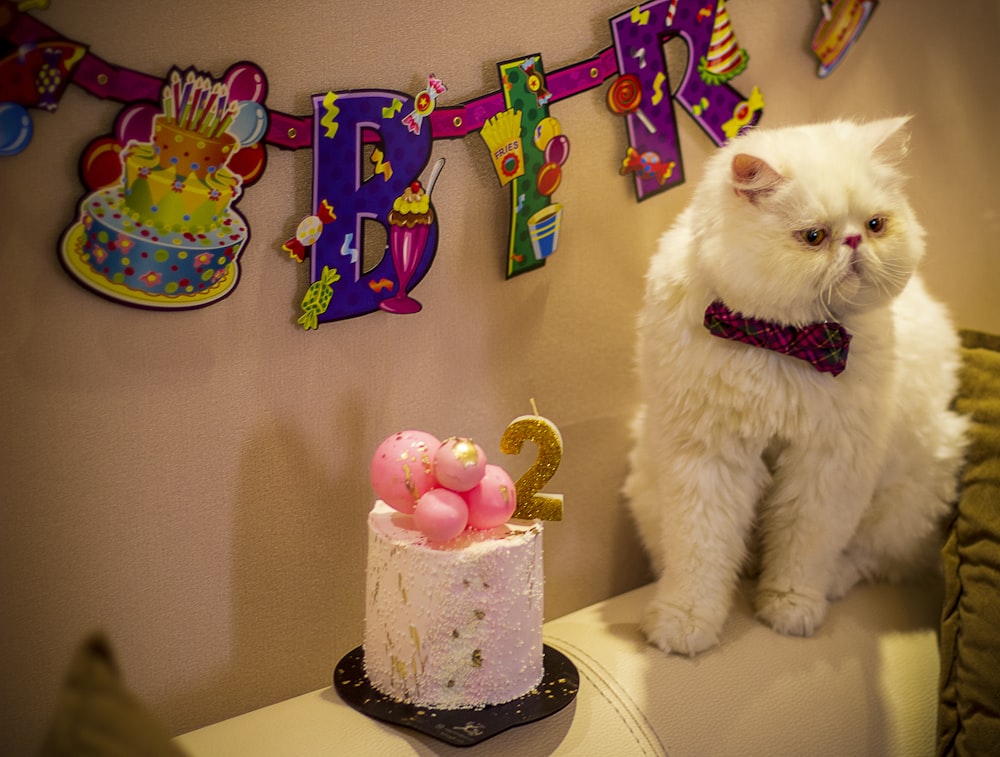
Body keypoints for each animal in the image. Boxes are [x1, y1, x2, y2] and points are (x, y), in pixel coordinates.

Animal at [624, 118, 968, 656]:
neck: (782, 339)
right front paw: (682, 625)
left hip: (912, 484)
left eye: (876, 225)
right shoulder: (706, 459)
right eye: (813, 236)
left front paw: (788, 609)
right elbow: (698, 557)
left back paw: (829, 584)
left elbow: (803, 551)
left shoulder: (827, 465)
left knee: (869, 559)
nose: (854, 242)